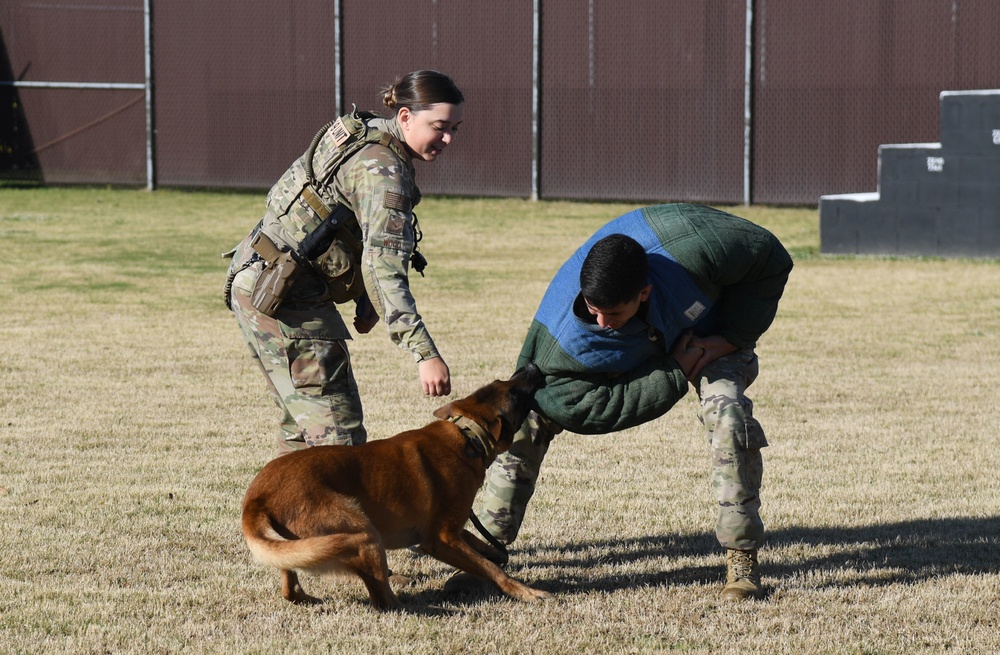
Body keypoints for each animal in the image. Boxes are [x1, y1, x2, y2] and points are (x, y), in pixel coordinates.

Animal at [244, 364, 556, 608]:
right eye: (514, 394)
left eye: (502, 381)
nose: (532, 367)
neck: (467, 437)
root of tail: (256, 498)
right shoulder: (440, 540)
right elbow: (491, 569)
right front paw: (526, 592)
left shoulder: (449, 529)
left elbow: (482, 546)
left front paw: (496, 551)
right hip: (363, 532)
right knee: (383, 601)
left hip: (294, 546)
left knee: (289, 587)